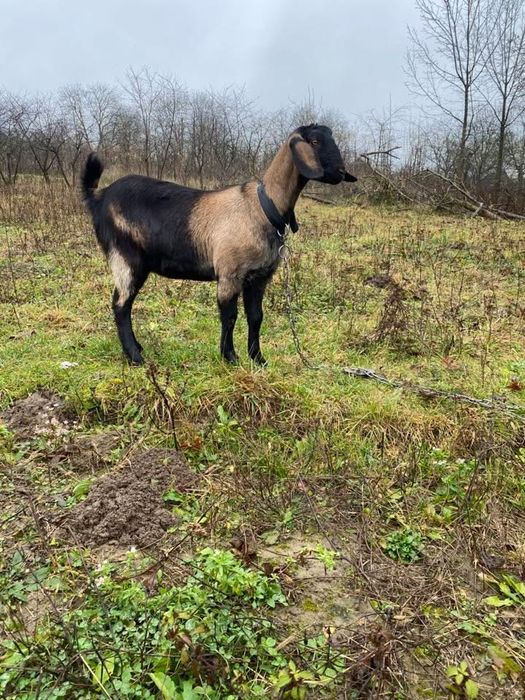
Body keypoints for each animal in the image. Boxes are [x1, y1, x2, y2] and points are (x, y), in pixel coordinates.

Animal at [81, 124, 356, 365]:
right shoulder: (230, 272)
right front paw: (230, 357)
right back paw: (136, 357)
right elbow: (229, 316)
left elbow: (256, 317)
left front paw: (258, 359)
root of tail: (98, 196)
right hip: (126, 257)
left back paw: (136, 349)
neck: (263, 207)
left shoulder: (259, 277)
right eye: (315, 141)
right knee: (121, 305)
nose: (341, 172)